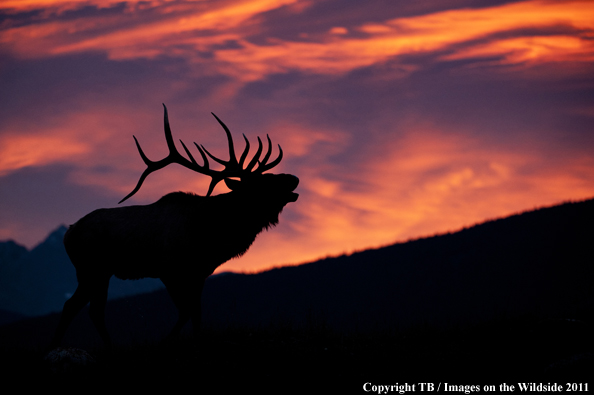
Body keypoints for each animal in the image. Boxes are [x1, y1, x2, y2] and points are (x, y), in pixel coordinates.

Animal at [50, 106, 298, 350]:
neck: (214, 232)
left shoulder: (199, 273)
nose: (294, 178)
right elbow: (186, 311)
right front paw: (166, 340)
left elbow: (197, 313)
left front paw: (196, 339)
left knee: (84, 308)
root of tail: (68, 234)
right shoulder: (168, 270)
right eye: (263, 183)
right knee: (81, 307)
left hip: (97, 273)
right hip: (92, 269)